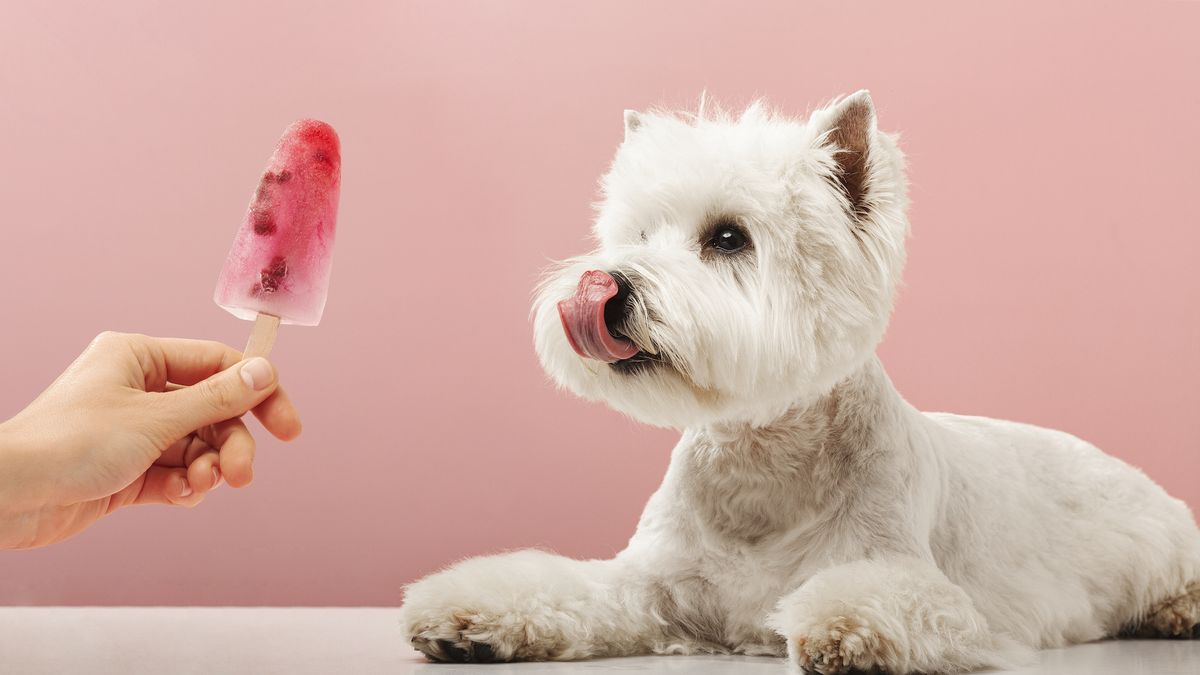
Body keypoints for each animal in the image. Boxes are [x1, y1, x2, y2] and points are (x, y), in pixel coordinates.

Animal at [398, 91, 1195, 667]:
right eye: (637, 233)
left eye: (727, 238)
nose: (606, 285)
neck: (762, 463)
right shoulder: (650, 581)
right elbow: (564, 584)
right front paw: (466, 616)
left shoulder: (911, 577)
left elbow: (875, 599)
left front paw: (843, 632)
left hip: (1161, 534)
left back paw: (1176, 609)